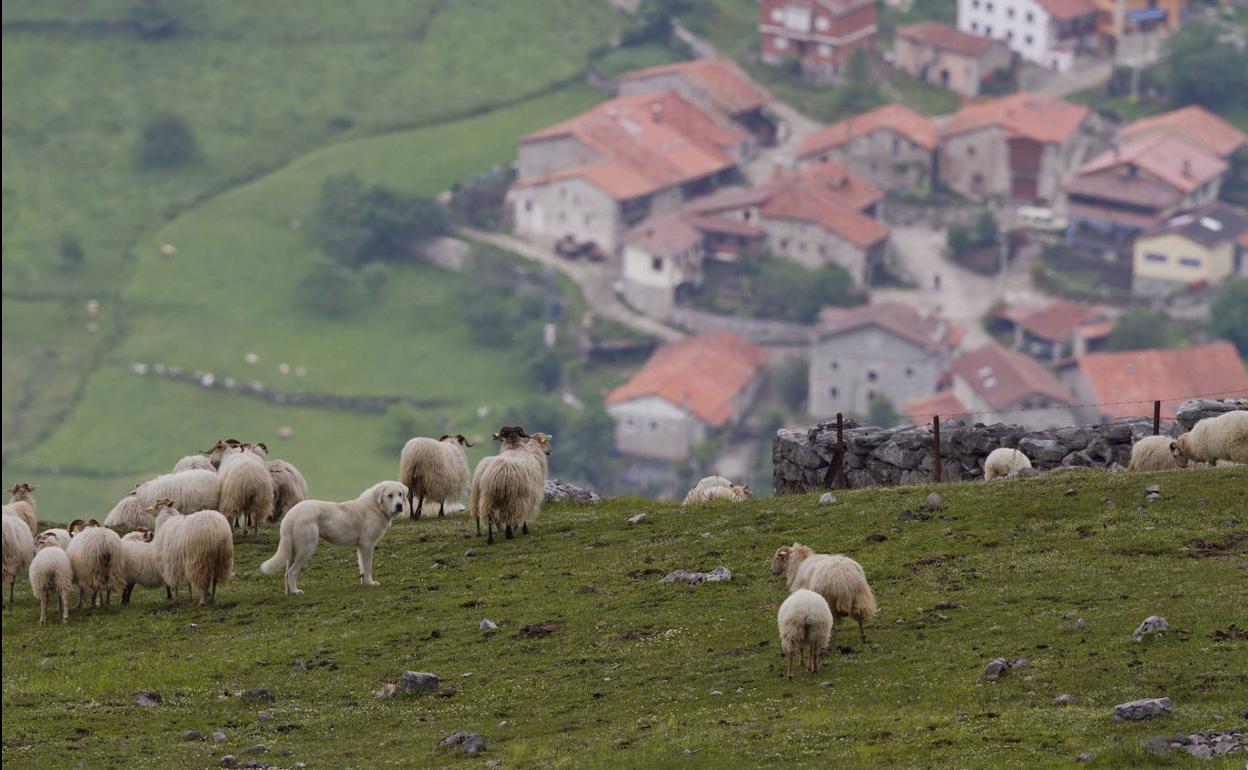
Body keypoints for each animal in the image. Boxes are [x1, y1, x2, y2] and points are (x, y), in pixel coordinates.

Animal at [259, 479, 409, 594]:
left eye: (400, 494)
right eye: (390, 495)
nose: (399, 505)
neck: (377, 507)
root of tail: (291, 514)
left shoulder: (361, 547)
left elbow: (362, 567)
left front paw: (365, 583)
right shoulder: (367, 546)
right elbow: (368, 567)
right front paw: (371, 583)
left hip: (292, 551)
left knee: (286, 573)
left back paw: (289, 592)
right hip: (306, 549)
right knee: (292, 572)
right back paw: (296, 591)